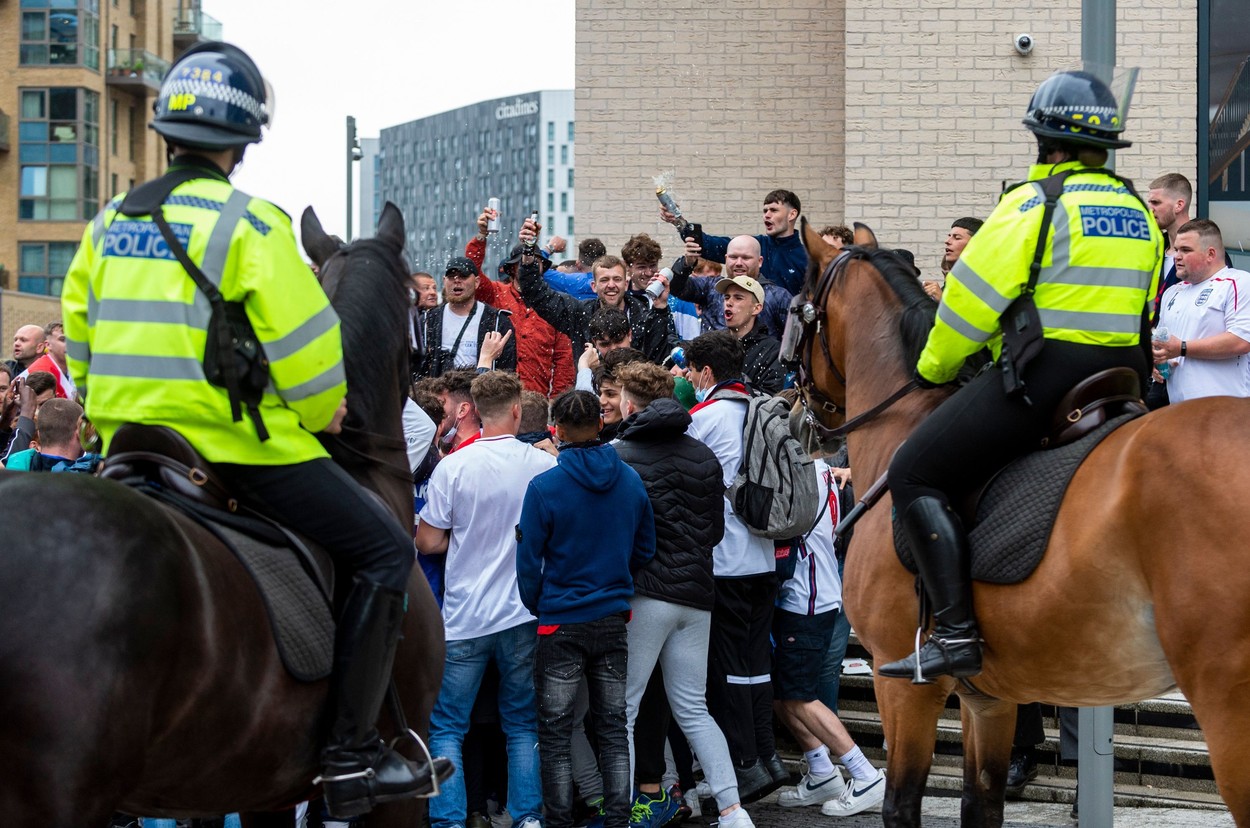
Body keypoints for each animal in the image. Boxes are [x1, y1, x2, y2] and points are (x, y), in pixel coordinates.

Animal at [795, 222, 1250, 828]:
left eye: (795, 309)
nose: (799, 415)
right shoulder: (989, 697)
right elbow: (982, 801)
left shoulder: (906, 689)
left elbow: (901, 804)